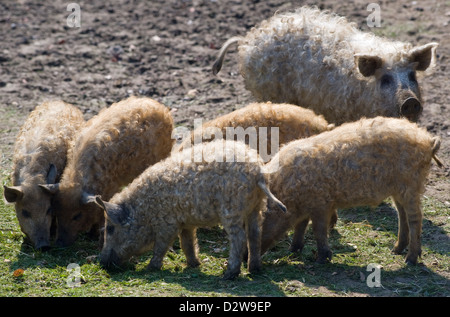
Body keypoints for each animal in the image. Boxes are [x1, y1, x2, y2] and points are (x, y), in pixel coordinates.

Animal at [40, 97, 175, 247]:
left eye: (77, 215)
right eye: (56, 212)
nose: (59, 243)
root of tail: (158, 105)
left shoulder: (111, 188)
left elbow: (101, 211)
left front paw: (95, 237)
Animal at [96, 139, 284, 278]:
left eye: (110, 228)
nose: (101, 262)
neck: (144, 210)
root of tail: (258, 171)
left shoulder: (167, 223)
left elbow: (161, 245)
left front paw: (151, 268)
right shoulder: (185, 222)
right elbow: (187, 242)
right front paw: (193, 264)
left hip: (232, 209)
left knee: (239, 237)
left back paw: (229, 274)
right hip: (256, 208)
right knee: (255, 234)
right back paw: (254, 269)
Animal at [262, 116, 442, 264]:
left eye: (261, 217)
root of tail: (428, 140)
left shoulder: (321, 204)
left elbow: (318, 229)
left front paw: (321, 259)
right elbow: (301, 226)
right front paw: (293, 250)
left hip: (411, 185)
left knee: (415, 218)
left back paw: (410, 260)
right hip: (398, 189)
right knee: (402, 214)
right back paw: (395, 250)